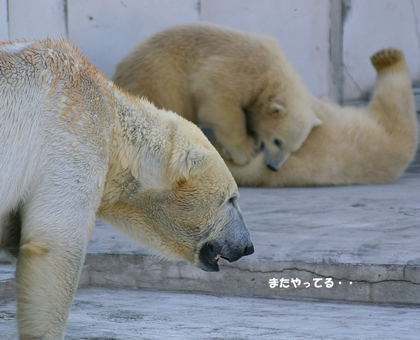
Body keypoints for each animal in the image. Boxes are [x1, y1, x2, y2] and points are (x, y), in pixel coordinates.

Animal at [113, 23, 324, 171]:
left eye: (294, 148)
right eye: (277, 141)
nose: (274, 167)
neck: (272, 69)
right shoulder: (237, 69)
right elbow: (218, 97)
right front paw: (245, 150)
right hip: (160, 78)